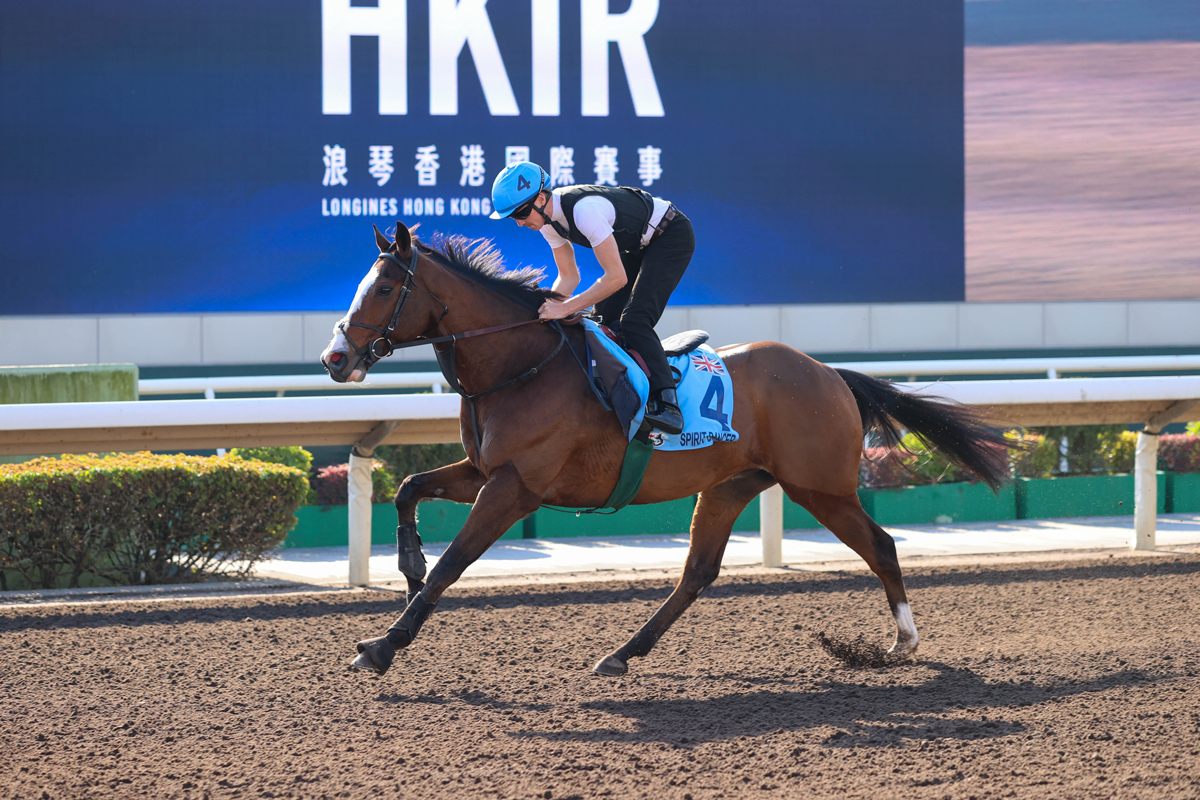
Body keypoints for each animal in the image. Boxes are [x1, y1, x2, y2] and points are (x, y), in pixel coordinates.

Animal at [321, 221, 1012, 681]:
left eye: (383, 289)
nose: (336, 357)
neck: (520, 364)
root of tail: (829, 373)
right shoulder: (485, 470)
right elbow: (409, 490)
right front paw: (406, 563)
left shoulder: (516, 486)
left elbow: (454, 564)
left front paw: (383, 645)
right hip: (732, 485)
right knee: (697, 573)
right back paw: (621, 654)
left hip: (820, 486)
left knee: (882, 546)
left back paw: (903, 641)